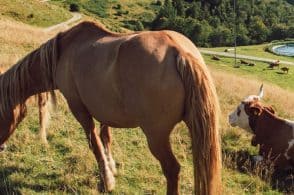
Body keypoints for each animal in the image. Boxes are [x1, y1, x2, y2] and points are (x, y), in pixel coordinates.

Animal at [0, 21, 220, 195]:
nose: (1, 147)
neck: (63, 52)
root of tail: (178, 51)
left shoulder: (79, 109)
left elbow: (94, 143)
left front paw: (107, 181)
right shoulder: (103, 110)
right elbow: (105, 137)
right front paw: (111, 168)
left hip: (156, 137)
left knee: (172, 169)